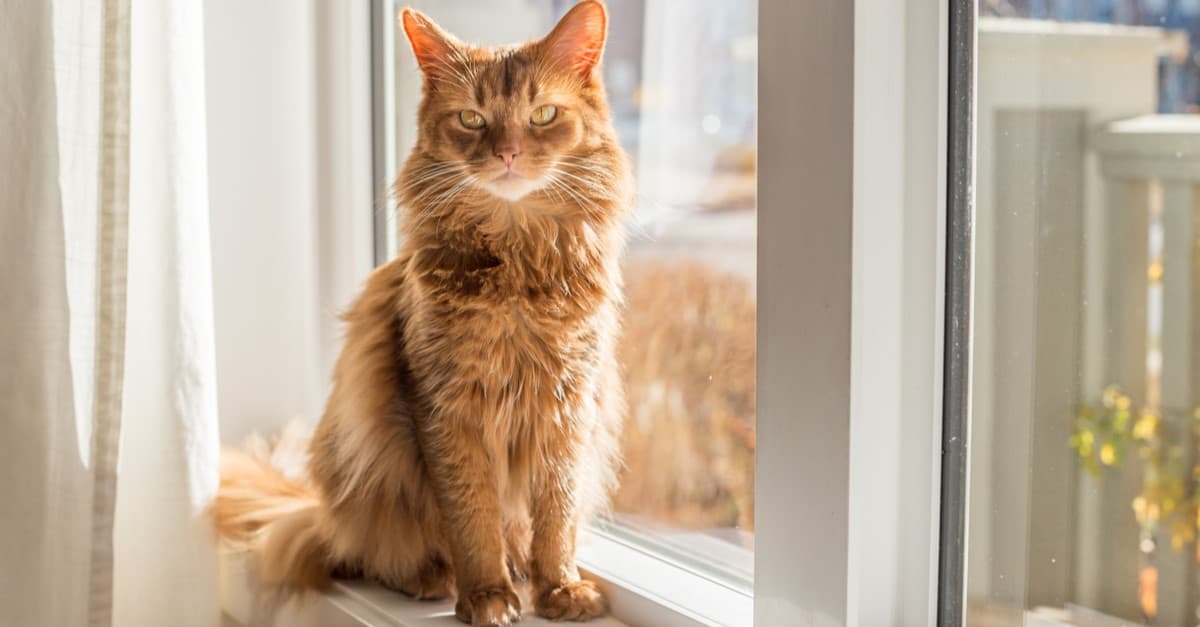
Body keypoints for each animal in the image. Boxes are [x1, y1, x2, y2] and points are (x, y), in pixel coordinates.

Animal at [212, 2, 633, 619]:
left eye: (543, 114)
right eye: (472, 120)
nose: (507, 153)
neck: (514, 267)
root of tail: (317, 511)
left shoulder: (568, 407)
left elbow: (556, 514)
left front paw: (559, 588)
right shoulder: (443, 405)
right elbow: (471, 515)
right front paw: (486, 595)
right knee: (366, 554)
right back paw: (431, 577)